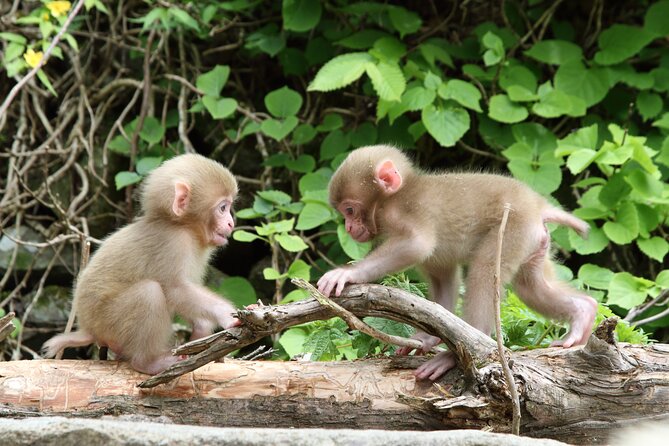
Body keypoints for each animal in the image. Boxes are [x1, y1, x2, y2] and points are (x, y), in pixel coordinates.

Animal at [43, 154, 241, 375]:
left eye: (228, 207)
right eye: (223, 208)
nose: (231, 222)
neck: (181, 226)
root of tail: (87, 328)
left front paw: (202, 329)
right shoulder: (174, 243)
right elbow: (176, 290)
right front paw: (226, 314)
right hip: (106, 320)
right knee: (149, 292)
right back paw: (147, 362)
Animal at [317, 144, 598, 381]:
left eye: (350, 210)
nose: (348, 227)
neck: (397, 195)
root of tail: (539, 206)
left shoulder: (407, 213)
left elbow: (417, 244)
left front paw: (347, 274)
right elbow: (442, 282)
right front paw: (426, 337)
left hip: (514, 227)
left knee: (484, 271)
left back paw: (464, 349)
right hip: (533, 239)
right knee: (531, 286)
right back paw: (583, 313)